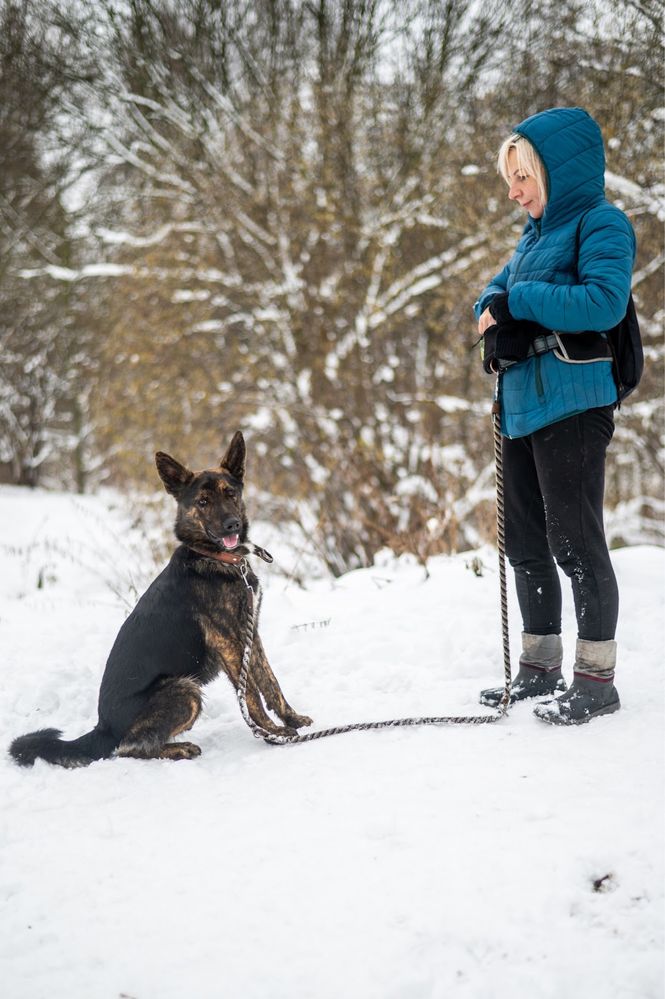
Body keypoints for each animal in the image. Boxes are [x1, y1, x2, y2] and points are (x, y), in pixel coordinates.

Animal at [9, 428, 312, 764]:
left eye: (230, 494)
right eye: (203, 502)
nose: (232, 524)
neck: (214, 558)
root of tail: (103, 727)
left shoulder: (250, 637)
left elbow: (270, 682)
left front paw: (292, 719)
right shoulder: (229, 643)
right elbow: (250, 695)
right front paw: (272, 734)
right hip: (184, 689)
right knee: (129, 747)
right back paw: (180, 748)